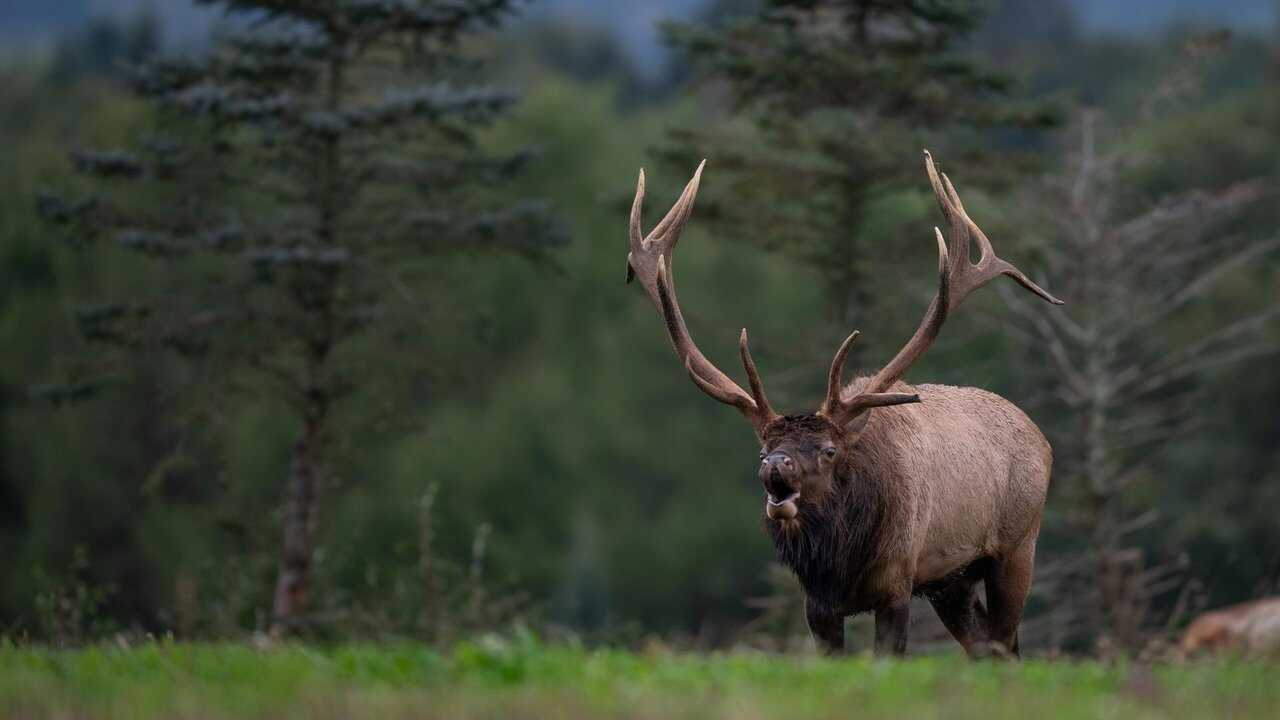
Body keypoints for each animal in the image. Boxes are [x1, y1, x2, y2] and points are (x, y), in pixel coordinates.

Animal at [623, 151, 1063, 657]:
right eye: (762, 449)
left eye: (829, 450)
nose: (777, 465)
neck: (840, 564)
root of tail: (1040, 435)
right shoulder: (818, 605)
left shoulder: (896, 583)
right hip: (952, 581)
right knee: (985, 647)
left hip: (1017, 546)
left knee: (1005, 644)